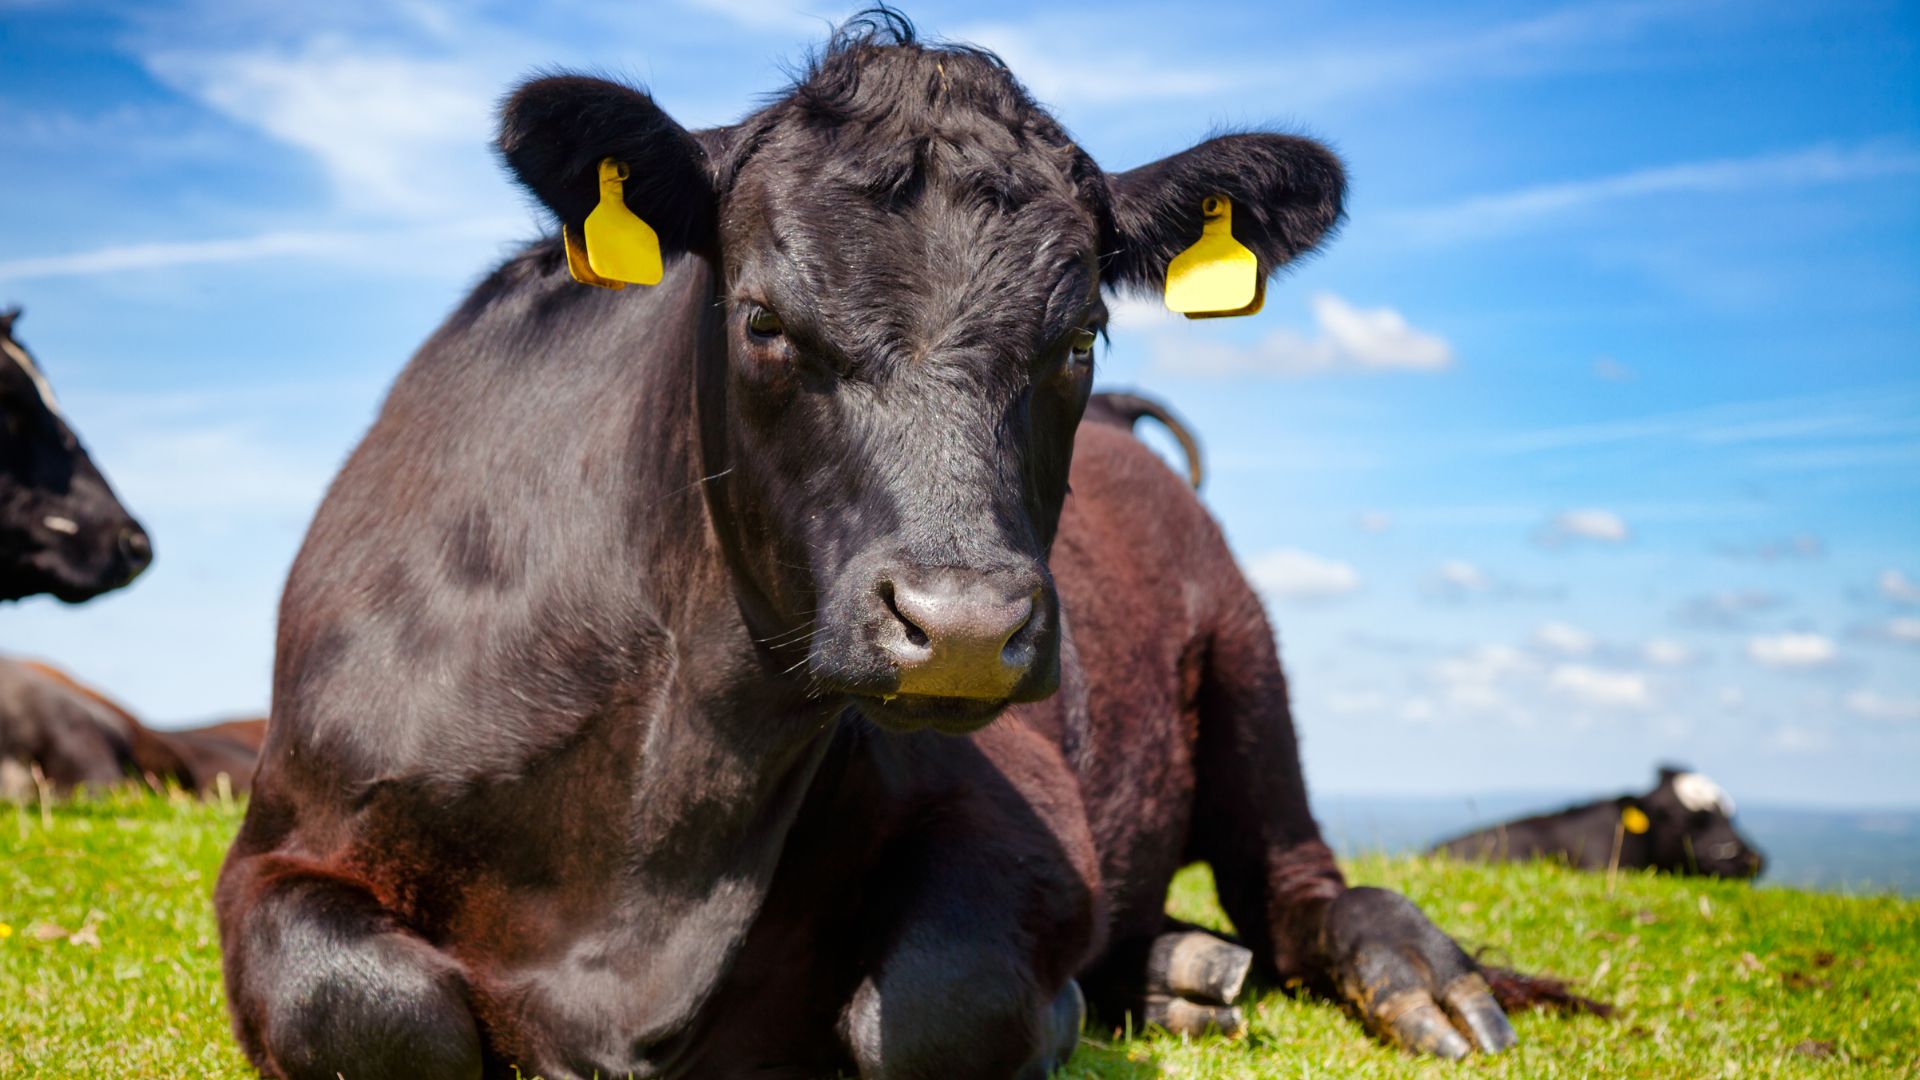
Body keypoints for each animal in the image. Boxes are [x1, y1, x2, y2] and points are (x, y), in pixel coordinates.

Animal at [216, 13, 1535, 1078]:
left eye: (1081, 336)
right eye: (761, 319)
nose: (964, 628)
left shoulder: (1022, 819)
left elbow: (928, 1006)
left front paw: (1058, 1017)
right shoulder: (282, 843)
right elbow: (370, 1010)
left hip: (1249, 669)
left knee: (1300, 887)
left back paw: (1406, 978)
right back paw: (1176, 974)